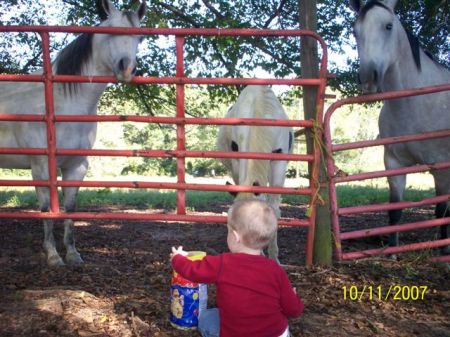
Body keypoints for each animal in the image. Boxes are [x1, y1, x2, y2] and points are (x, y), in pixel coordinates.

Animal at [0, 0, 147, 268]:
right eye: (109, 32)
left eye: (139, 38)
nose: (127, 68)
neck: (62, 102)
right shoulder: (41, 168)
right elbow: (47, 209)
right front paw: (53, 255)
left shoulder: (76, 166)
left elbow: (69, 209)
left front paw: (72, 254)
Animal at [352, 0, 450, 252]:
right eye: (355, 31)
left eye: (388, 26)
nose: (368, 77)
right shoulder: (394, 163)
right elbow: (394, 211)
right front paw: (392, 253)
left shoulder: (442, 167)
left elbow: (441, 212)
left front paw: (443, 251)